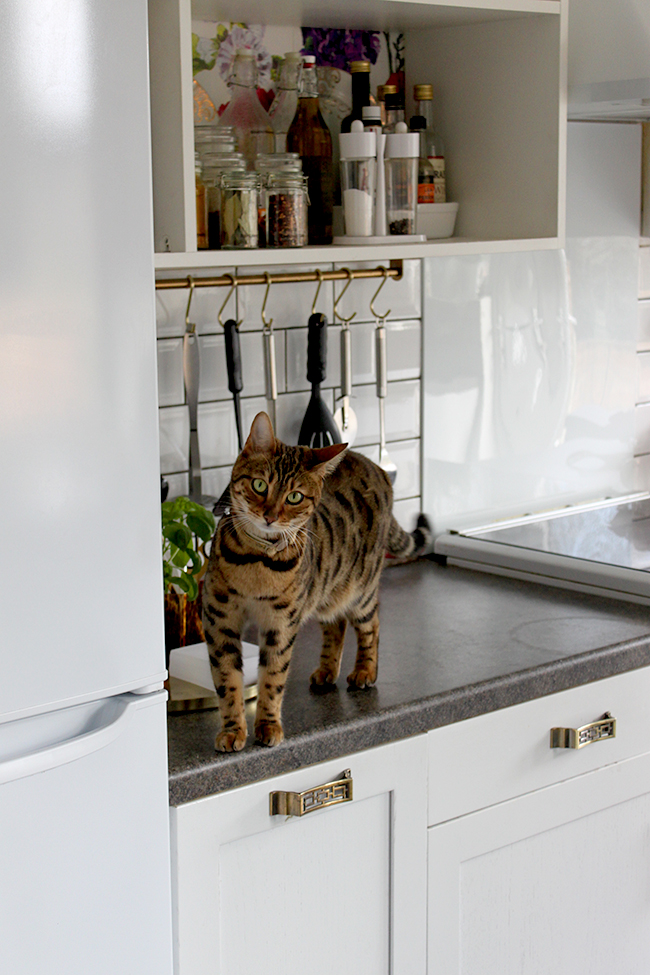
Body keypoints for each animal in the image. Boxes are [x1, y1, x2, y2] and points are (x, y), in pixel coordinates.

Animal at [200, 412, 428, 756]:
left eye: (294, 496)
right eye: (259, 485)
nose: (269, 517)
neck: (256, 564)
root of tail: (375, 465)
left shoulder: (281, 624)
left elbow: (273, 677)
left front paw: (268, 725)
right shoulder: (220, 620)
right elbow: (227, 680)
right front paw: (232, 730)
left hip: (360, 588)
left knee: (371, 623)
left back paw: (365, 671)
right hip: (326, 588)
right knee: (336, 625)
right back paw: (327, 671)